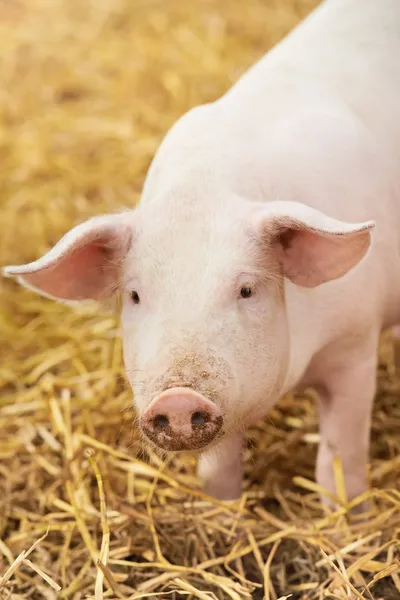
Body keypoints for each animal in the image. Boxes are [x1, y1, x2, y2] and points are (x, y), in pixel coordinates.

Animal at [4, 0, 400, 506]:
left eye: (246, 290)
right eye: (134, 296)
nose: (177, 399)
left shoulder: (354, 344)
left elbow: (339, 461)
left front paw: (346, 516)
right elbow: (219, 472)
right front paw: (223, 507)